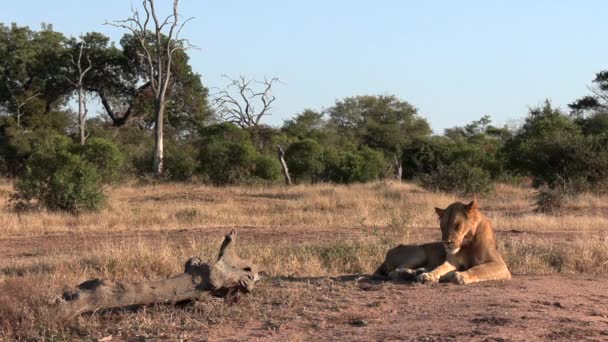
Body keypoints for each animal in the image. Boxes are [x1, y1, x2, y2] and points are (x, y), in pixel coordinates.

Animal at [372, 199, 510, 284]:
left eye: (457, 225)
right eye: (442, 226)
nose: (446, 243)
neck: (467, 244)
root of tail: (388, 254)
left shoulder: (500, 264)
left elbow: (480, 268)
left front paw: (462, 275)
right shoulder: (452, 262)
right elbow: (440, 268)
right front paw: (429, 276)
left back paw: (417, 271)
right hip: (420, 251)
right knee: (393, 272)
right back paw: (410, 274)